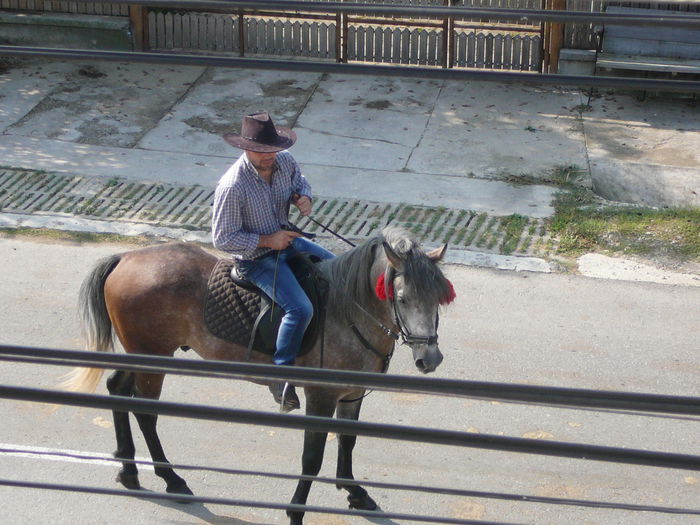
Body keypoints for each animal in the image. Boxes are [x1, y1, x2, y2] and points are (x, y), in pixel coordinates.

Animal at [61, 225, 454, 524]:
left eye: (437, 297)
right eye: (402, 298)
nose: (430, 358)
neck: (349, 311)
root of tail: (125, 258)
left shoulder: (352, 393)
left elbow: (348, 441)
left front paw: (354, 492)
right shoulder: (321, 396)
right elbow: (312, 458)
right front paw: (296, 510)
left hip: (143, 354)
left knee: (117, 388)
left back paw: (129, 470)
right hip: (153, 355)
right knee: (145, 412)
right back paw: (172, 478)